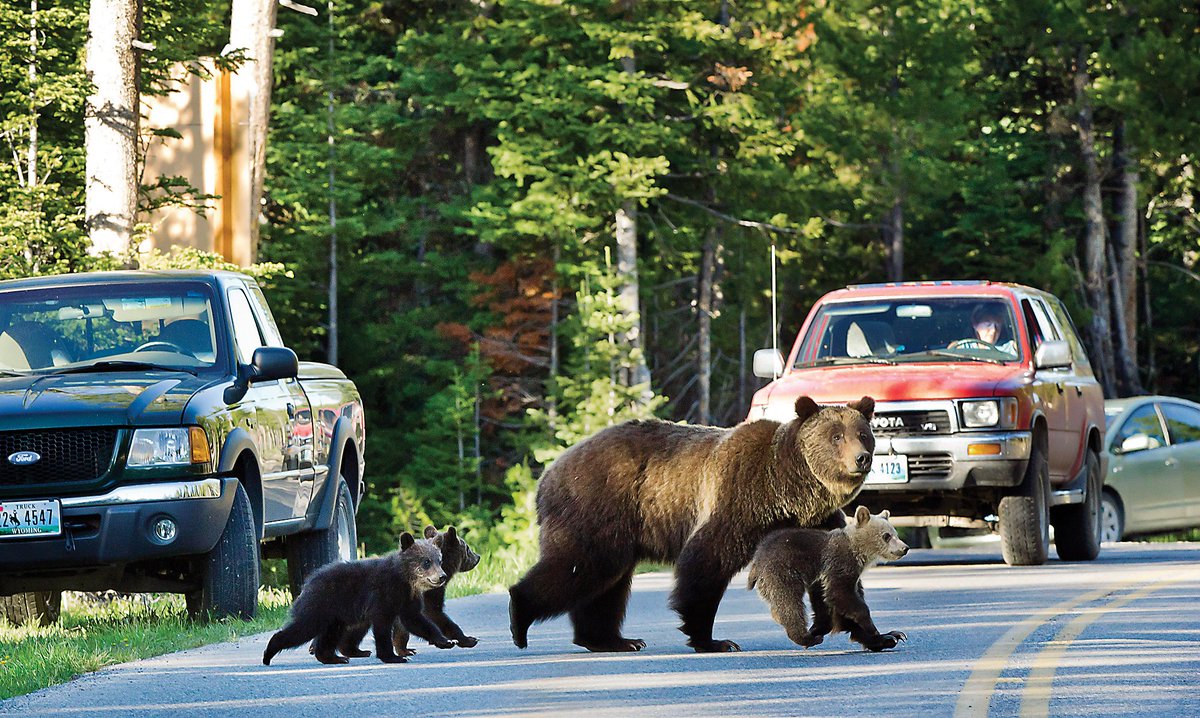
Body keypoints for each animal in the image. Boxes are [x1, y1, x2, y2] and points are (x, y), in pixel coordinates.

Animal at [262, 535, 453, 667]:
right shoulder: (383, 595)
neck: (405, 579)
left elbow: (416, 621)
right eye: (426, 561)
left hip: (335, 615)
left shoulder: (408, 599)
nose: (442, 577)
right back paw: (268, 653)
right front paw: (393, 656)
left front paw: (445, 641)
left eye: (439, 560)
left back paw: (335, 657)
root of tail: (308, 582)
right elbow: (382, 627)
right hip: (320, 605)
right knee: (303, 628)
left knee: (330, 634)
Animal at [333, 525, 482, 662]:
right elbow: (434, 612)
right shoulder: (428, 591)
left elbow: (404, 624)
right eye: (467, 548)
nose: (478, 557)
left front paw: (405, 649)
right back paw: (353, 650)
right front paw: (468, 639)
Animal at [506, 396, 873, 657]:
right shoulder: (738, 500)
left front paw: (870, 633)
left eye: (862, 434)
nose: (862, 458)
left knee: (606, 583)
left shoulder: (821, 523)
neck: (788, 490)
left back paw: (612, 639)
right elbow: (706, 561)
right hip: (597, 507)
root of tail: (548, 473)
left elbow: (839, 578)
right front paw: (711, 639)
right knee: (579, 567)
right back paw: (519, 618)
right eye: (835, 436)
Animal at [748, 506, 907, 653]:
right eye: (886, 536)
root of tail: (756, 559)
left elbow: (838, 601)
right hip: (782, 570)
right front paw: (872, 628)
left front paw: (888, 637)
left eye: (895, 534)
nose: (904, 548)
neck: (858, 551)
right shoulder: (839, 562)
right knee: (788, 601)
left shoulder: (830, 577)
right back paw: (806, 637)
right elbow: (841, 593)